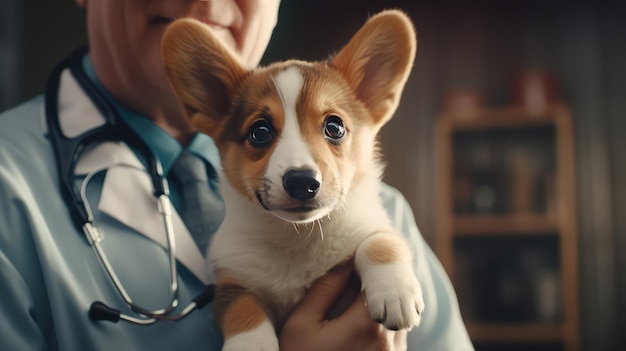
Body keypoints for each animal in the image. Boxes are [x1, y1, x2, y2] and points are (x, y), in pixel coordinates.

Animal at [163, 9, 422, 351]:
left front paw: (394, 292)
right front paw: (252, 345)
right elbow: (244, 310)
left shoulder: (375, 224)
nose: (302, 181)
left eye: (334, 127)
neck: (298, 237)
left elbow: (380, 239)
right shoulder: (232, 282)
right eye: (260, 132)